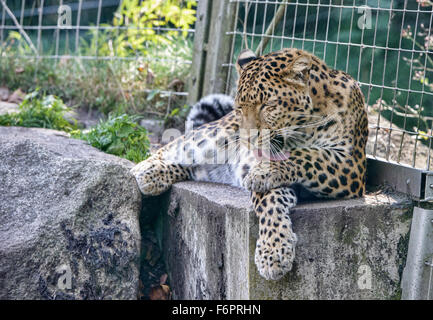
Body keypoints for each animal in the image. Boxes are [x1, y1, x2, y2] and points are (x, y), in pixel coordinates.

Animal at [130, 47, 366, 280]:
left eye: (268, 105)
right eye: (240, 108)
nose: (247, 140)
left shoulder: (351, 164)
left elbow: (306, 155)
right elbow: (270, 199)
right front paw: (273, 251)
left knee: (194, 167)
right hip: (213, 136)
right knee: (174, 146)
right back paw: (144, 171)